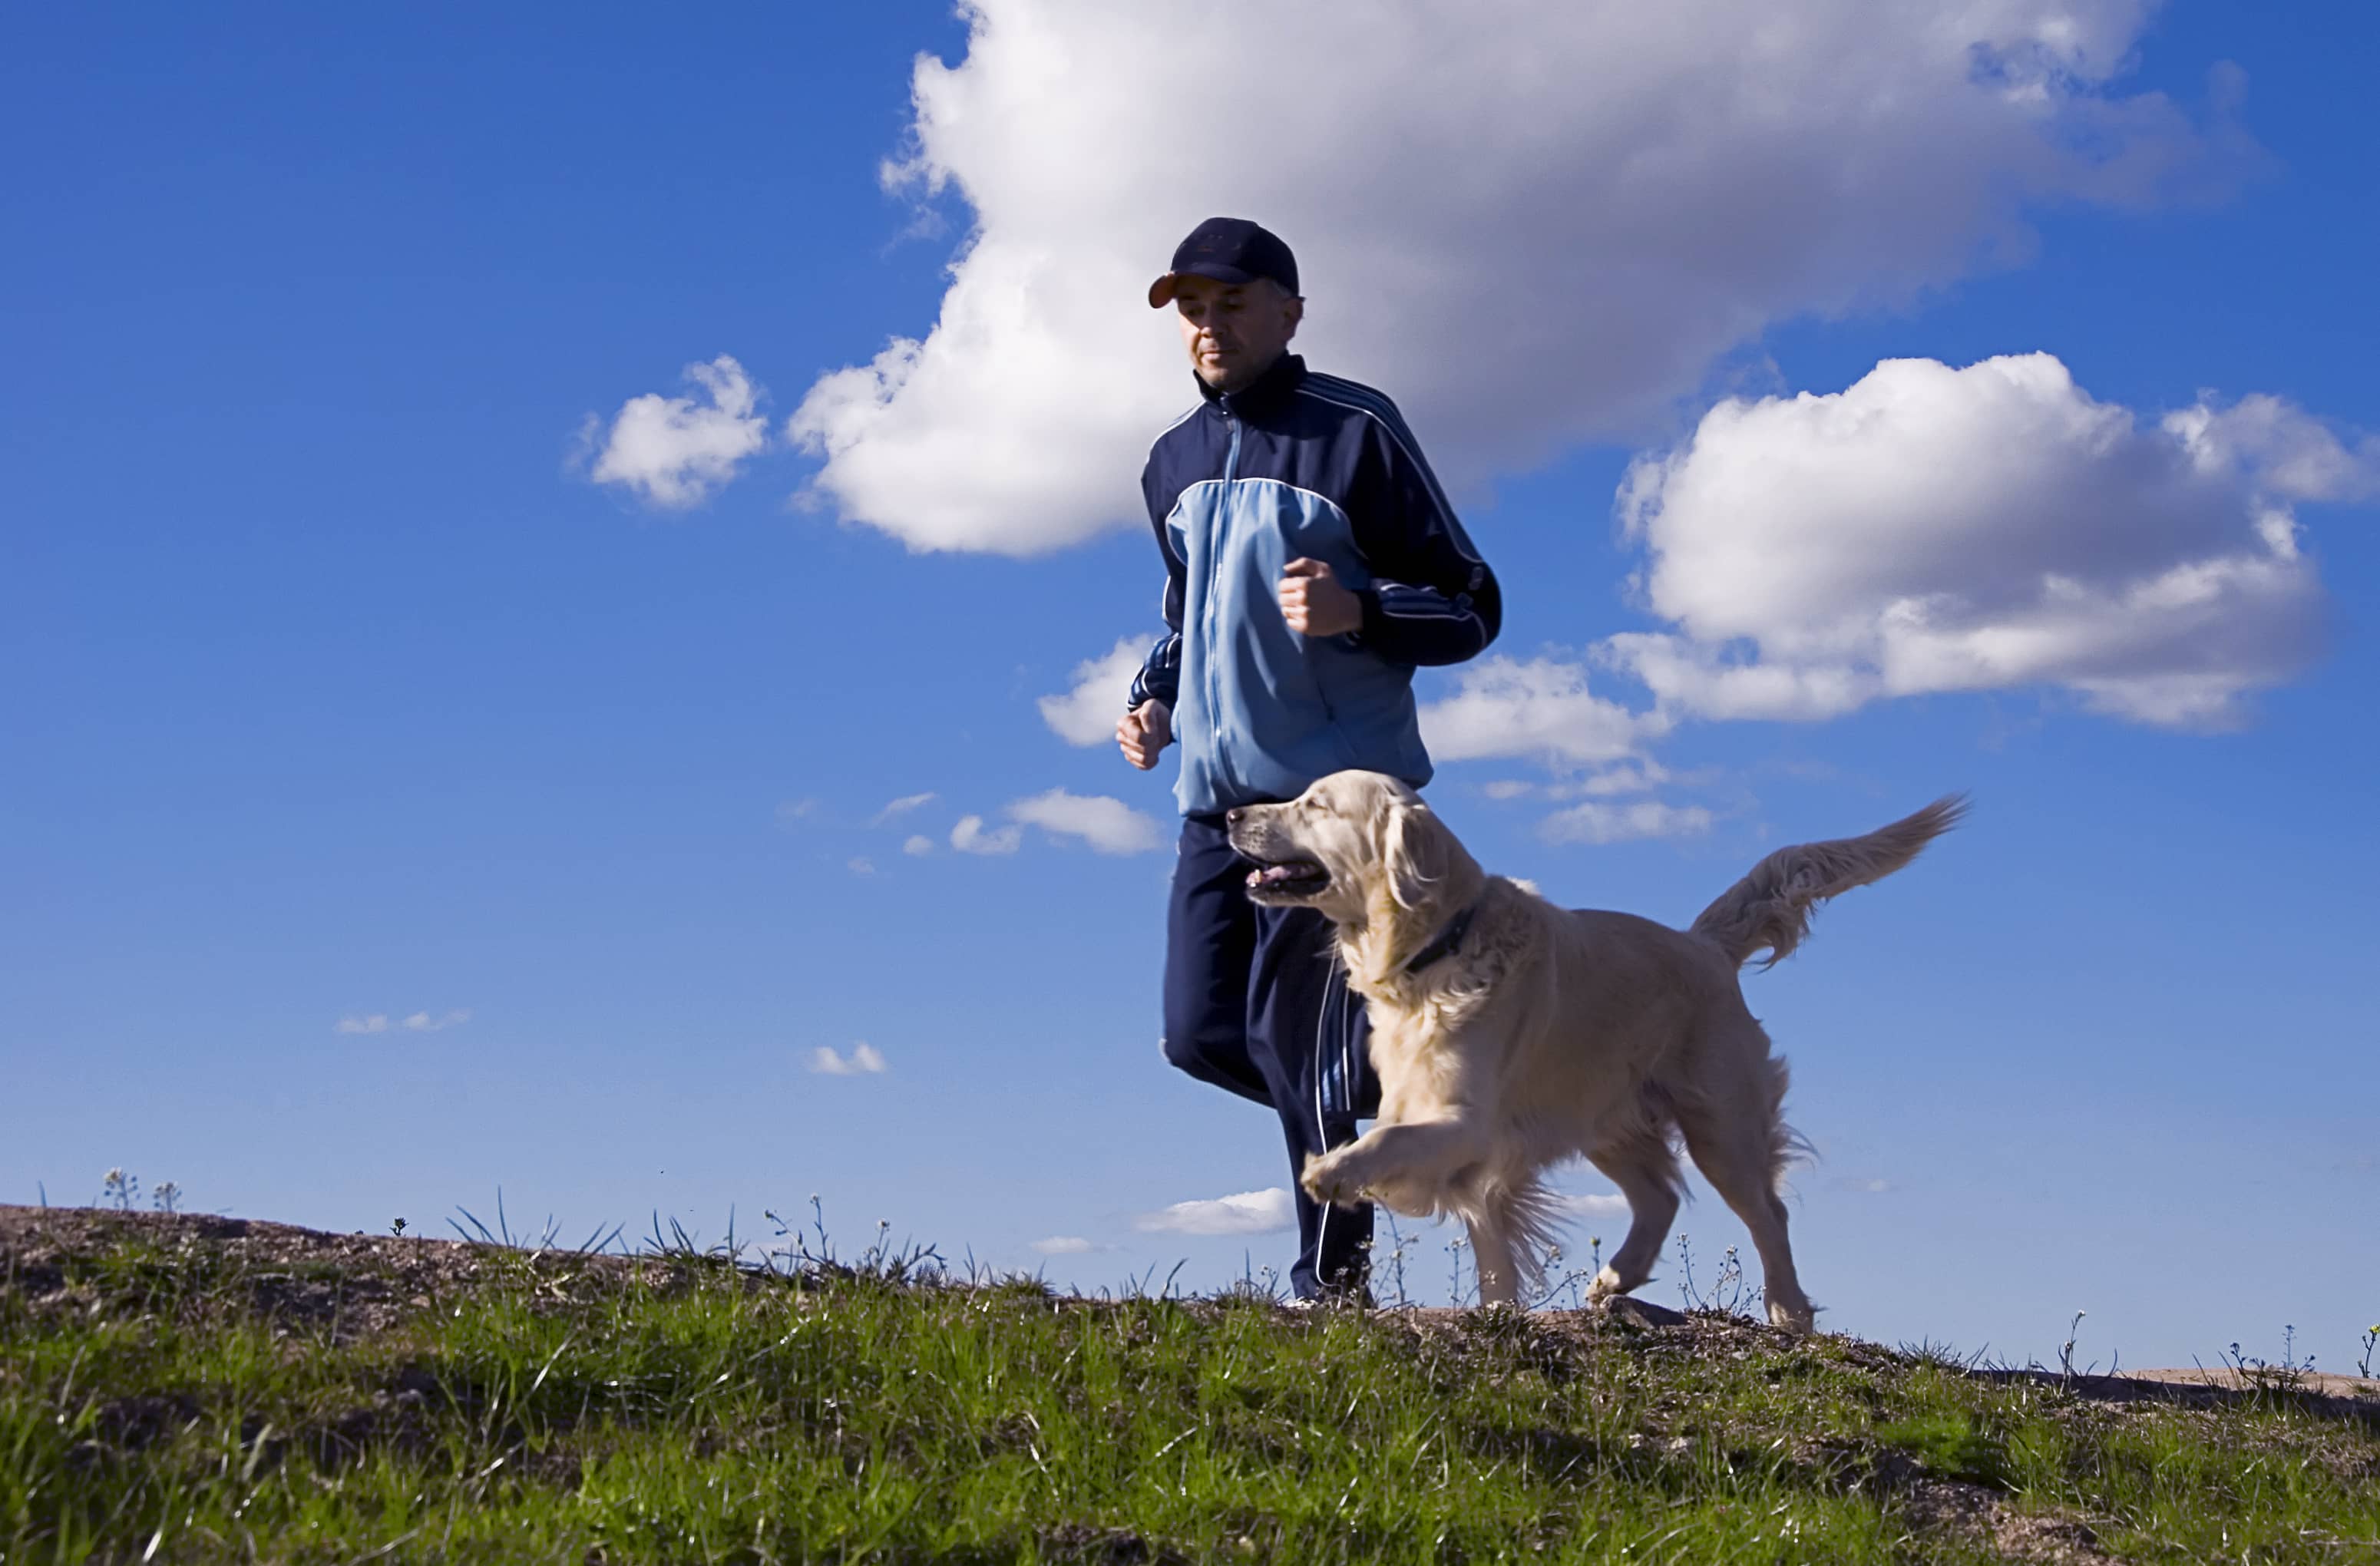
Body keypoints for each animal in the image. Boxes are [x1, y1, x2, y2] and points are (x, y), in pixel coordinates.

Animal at [1218, 762, 1961, 1323]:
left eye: (1315, 804)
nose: (1228, 815)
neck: (1440, 946)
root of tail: (1703, 945)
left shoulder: (1468, 1123)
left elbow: (1385, 1143)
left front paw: (1332, 1171)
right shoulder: (1463, 1137)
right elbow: (1490, 1249)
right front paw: (1499, 1312)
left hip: (1722, 1125)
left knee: (1767, 1213)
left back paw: (1787, 1310)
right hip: (1606, 1118)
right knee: (1660, 1201)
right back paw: (1612, 1280)